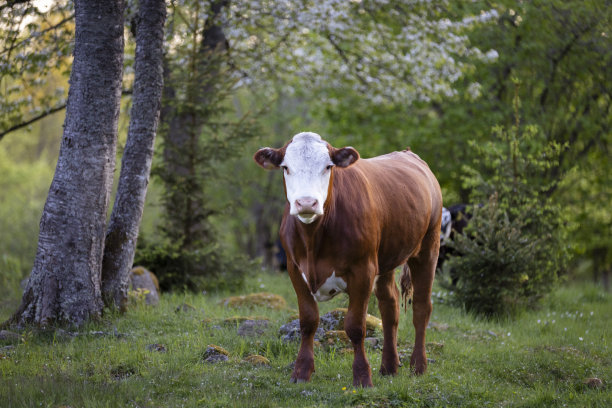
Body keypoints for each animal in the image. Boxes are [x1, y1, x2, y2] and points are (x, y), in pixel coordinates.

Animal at [251, 132, 442, 388]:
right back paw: (389, 366)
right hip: (386, 259)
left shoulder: (363, 270)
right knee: (389, 305)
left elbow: (355, 326)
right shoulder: (294, 269)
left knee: (421, 306)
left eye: (328, 166)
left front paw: (362, 377)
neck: (313, 240)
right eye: (285, 167)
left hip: (428, 247)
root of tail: (409, 153)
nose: (306, 202)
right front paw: (301, 372)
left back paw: (418, 366)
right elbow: (308, 321)